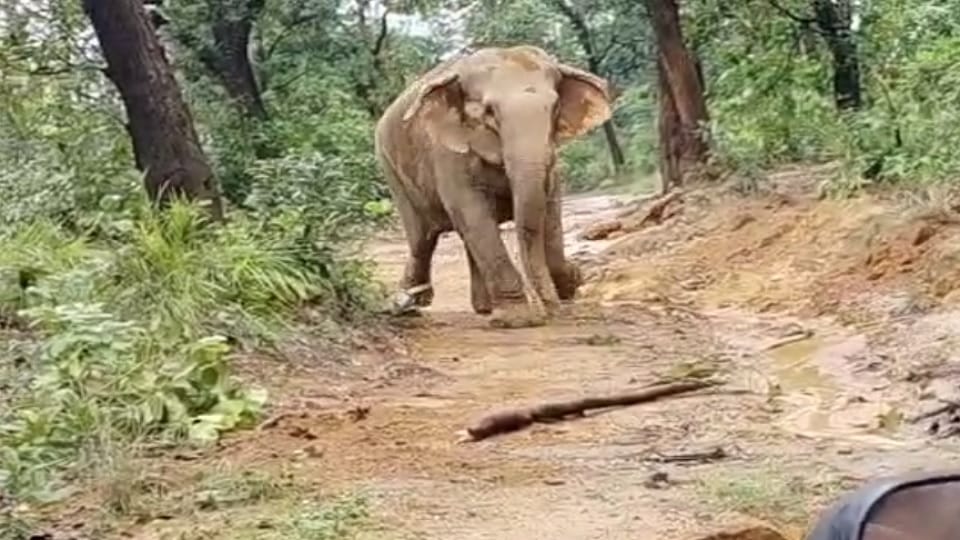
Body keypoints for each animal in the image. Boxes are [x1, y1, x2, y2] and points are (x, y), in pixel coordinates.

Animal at [374, 45, 613, 328]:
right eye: (489, 112)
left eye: (554, 108)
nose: (548, 309)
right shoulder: (446, 153)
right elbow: (473, 213)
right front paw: (517, 320)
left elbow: (550, 211)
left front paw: (570, 283)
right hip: (391, 170)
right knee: (423, 238)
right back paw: (410, 303)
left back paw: (483, 308)